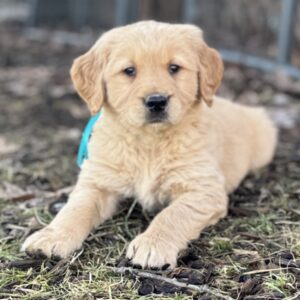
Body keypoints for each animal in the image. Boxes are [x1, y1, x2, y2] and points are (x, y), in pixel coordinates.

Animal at [22, 21, 278, 270]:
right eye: (129, 71)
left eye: (174, 68)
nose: (156, 101)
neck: (149, 141)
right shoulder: (97, 183)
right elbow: (74, 209)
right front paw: (51, 236)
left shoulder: (203, 190)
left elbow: (173, 214)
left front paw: (153, 244)